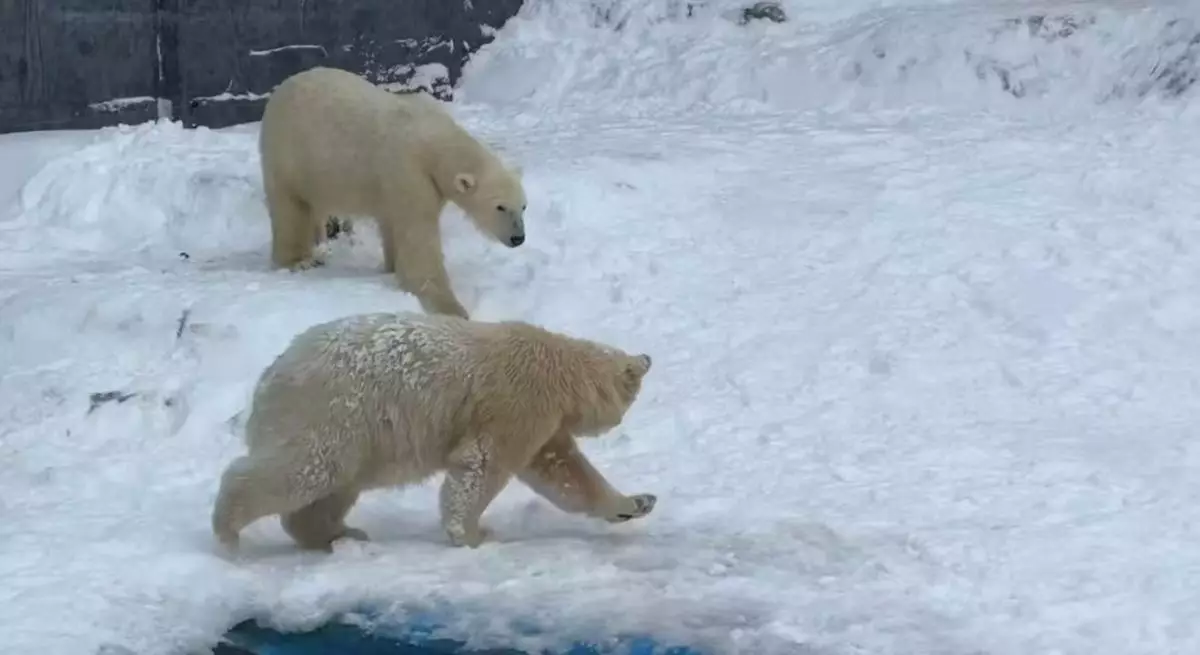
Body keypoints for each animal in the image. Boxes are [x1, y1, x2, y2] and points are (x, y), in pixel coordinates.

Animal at [211, 311, 657, 552]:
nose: (648, 356)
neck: (556, 364)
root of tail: (271, 374)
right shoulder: (517, 401)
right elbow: (482, 463)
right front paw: (476, 534)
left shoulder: (542, 422)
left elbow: (563, 471)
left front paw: (637, 502)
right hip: (331, 410)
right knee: (306, 468)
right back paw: (228, 533)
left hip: (355, 434)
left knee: (334, 486)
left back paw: (340, 533)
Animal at [257, 66, 528, 319]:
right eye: (500, 207)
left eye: (523, 206)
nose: (519, 238)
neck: (432, 138)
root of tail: (281, 90)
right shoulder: (409, 171)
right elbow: (419, 243)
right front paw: (453, 308)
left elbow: (393, 226)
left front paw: (390, 266)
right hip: (289, 153)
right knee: (290, 208)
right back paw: (298, 260)